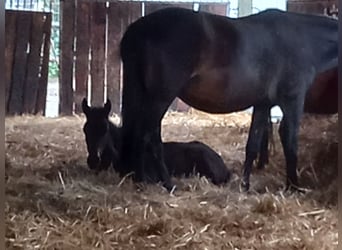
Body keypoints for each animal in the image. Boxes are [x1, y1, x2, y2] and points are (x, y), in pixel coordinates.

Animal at [117, 7, 336, 191]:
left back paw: (140, 180)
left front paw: (245, 186)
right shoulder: (292, 100)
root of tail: (135, 30)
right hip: (160, 98)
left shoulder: (262, 104)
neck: (303, 40)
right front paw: (293, 186)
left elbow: (253, 144)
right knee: (147, 137)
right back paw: (163, 183)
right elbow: (289, 140)